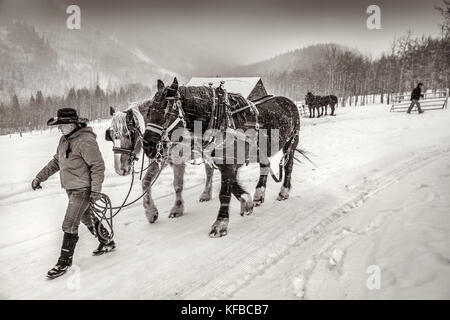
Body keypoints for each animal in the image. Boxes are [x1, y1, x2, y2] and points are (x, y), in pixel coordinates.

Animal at [142, 78, 300, 236]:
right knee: (265, 166)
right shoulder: (222, 163)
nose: (148, 146)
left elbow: (224, 193)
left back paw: (284, 192)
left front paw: (220, 223)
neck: (223, 120)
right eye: (149, 111)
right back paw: (259, 195)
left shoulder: (229, 163)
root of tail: (289, 102)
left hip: (291, 143)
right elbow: (233, 186)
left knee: (288, 166)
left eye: (166, 112)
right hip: (262, 150)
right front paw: (247, 202)